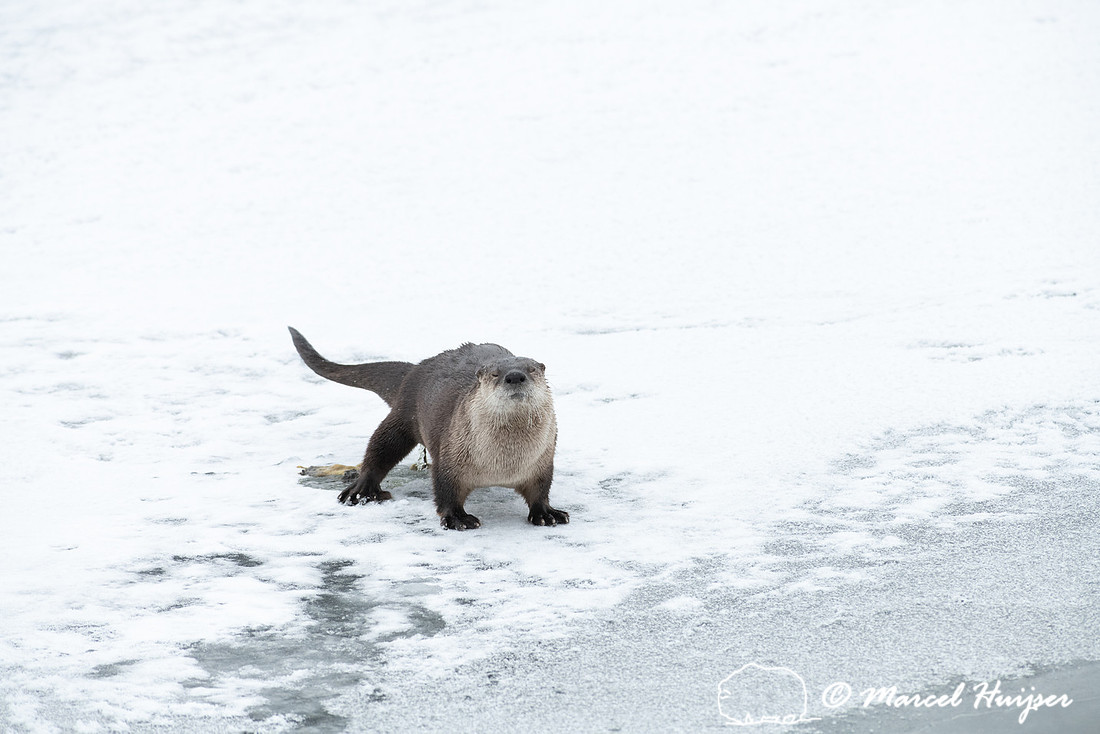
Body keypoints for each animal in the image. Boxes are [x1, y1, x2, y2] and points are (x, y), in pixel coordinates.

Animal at [288, 327, 568, 530]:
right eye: (495, 374)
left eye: (531, 370)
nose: (514, 376)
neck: (504, 464)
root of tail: (415, 369)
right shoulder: (451, 456)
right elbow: (445, 490)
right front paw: (457, 519)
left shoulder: (542, 462)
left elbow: (540, 490)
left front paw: (546, 513)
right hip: (403, 416)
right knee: (379, 448)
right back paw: (362, 491)